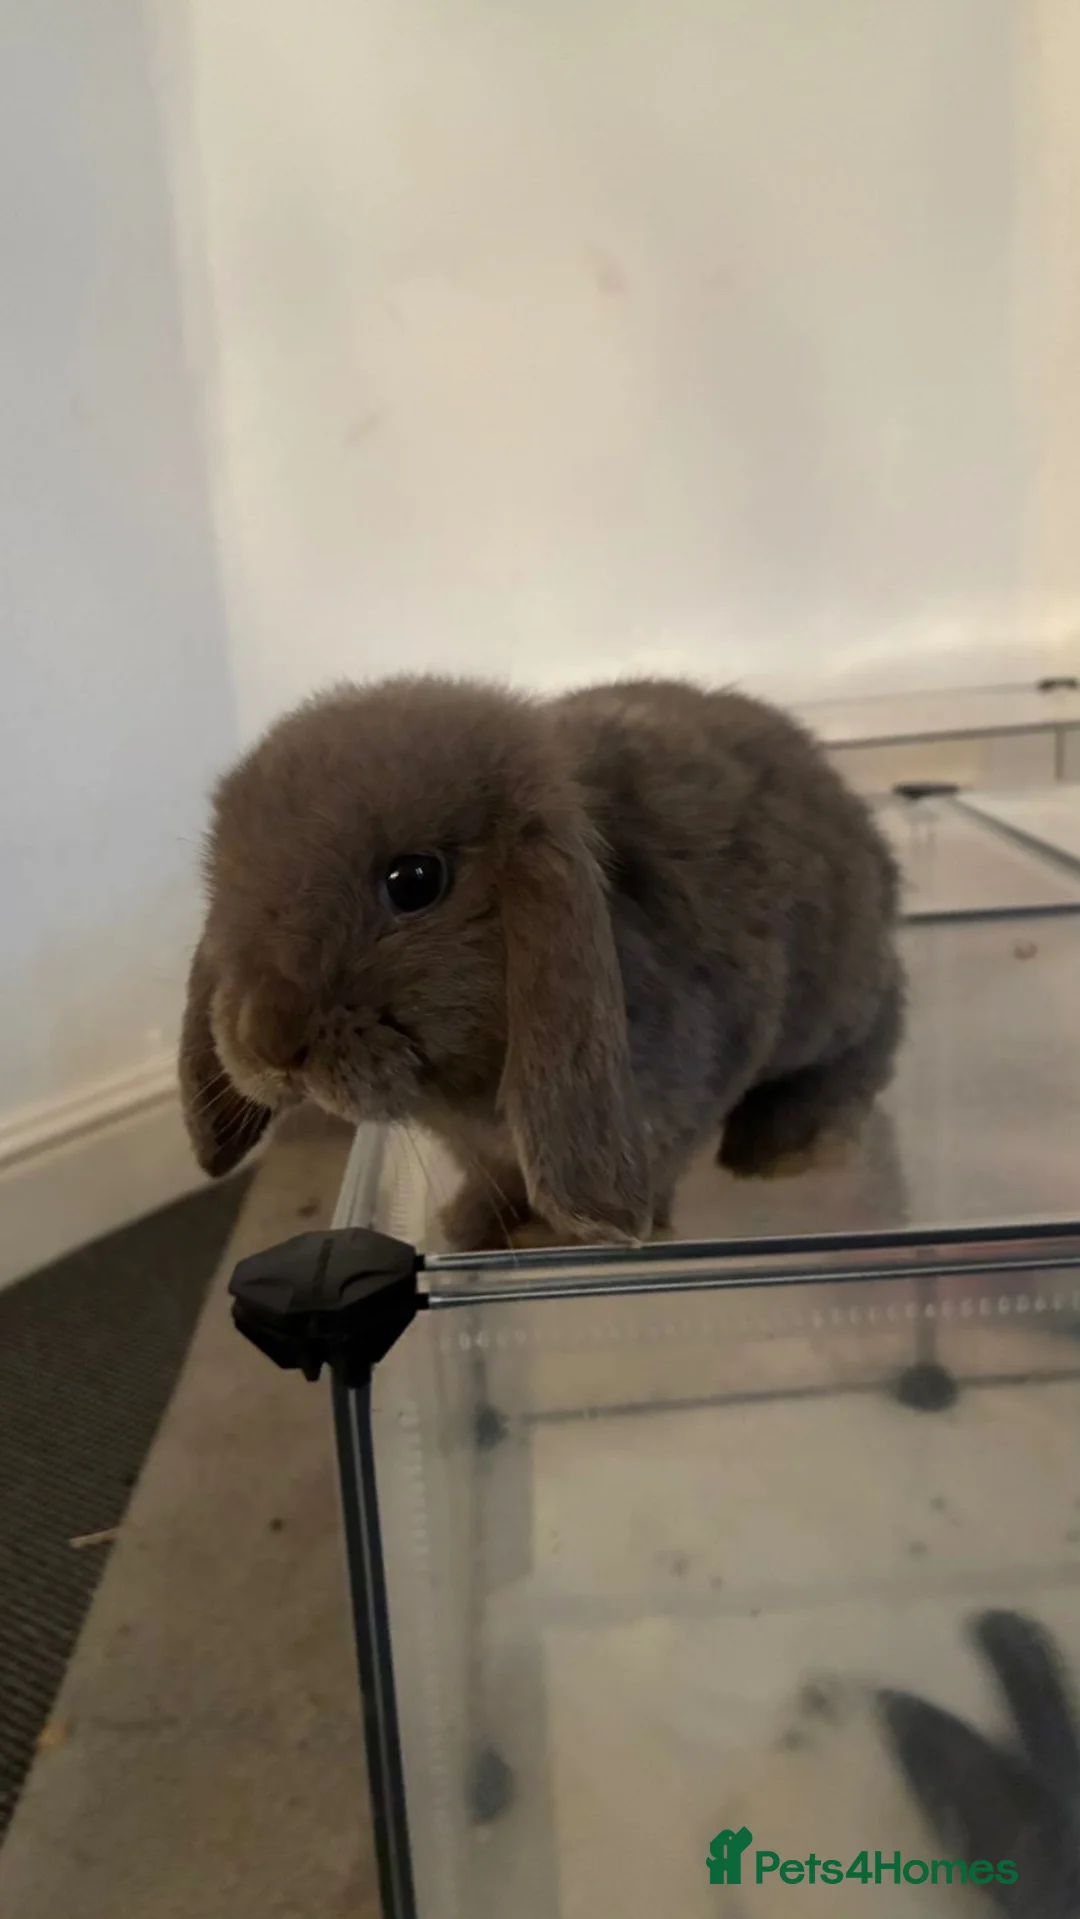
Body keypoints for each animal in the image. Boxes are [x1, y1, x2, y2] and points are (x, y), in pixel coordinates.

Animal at [178, 674, 904, 1250]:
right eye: (224, 886)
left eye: (414, 880)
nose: (266, 1043)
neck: (460, 1089)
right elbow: (496, 1175)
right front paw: (473, 1225)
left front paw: (557, 1236)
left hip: (835, 999)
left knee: (876, 1028)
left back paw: (792, 1146)